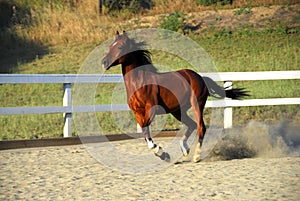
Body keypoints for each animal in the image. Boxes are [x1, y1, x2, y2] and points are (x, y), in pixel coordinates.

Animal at [102, 31, 247, 163]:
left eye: (120, 47)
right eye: (109, 46)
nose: (104, 62)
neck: (139, 83)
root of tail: (200, 77)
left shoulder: (151, 109)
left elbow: (145, 129)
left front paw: (160, 151)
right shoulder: (137, 112)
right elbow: (144, 132)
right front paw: (163, 154)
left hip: (196, 104)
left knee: (201, 127)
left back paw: (196, 156)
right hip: (177, 111)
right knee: (192, 125)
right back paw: (184, 149)